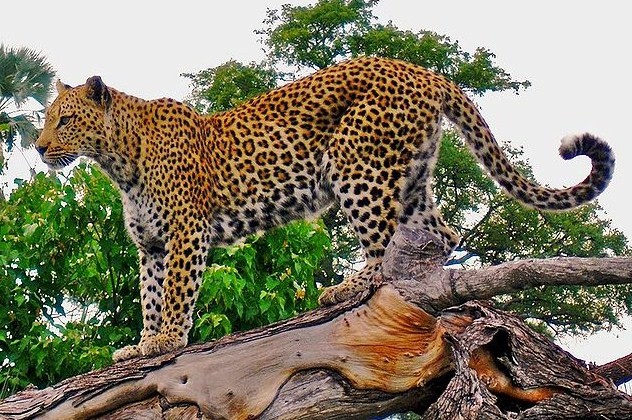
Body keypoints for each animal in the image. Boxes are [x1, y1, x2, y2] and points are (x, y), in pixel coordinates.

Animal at [33, 56, 612, 360]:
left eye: (65, 120)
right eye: (46, 118)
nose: (37, 148)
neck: (118, 159)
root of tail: (422, 71)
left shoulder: (185, 235)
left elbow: (175, 294)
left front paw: (167, 342)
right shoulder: (152, 245)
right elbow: (150, 298)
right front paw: (143, 344)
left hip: (357, 167)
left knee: (380, 245)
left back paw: (351, 287)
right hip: (411, 179)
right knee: (440, 234)